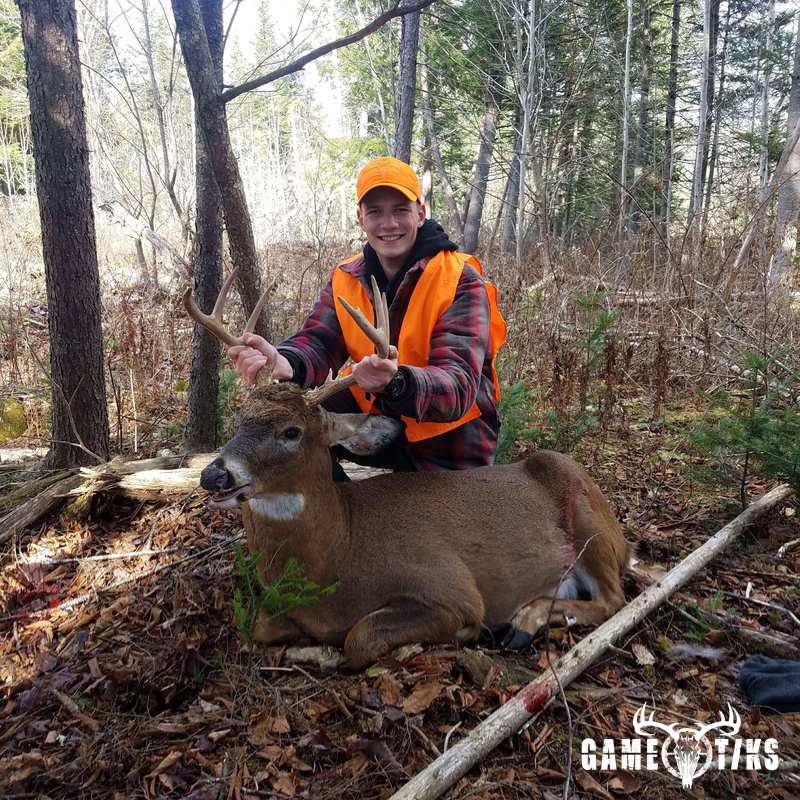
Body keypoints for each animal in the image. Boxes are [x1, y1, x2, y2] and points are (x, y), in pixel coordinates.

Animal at [184, 272, 631, 669]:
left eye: (291, 431)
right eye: (239, 420)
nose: (214, 475)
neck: (339, 552)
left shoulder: (451, 589)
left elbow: (358, 638)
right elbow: (261, 626)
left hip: (589, 522)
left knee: (613, 599)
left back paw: (522, 622)